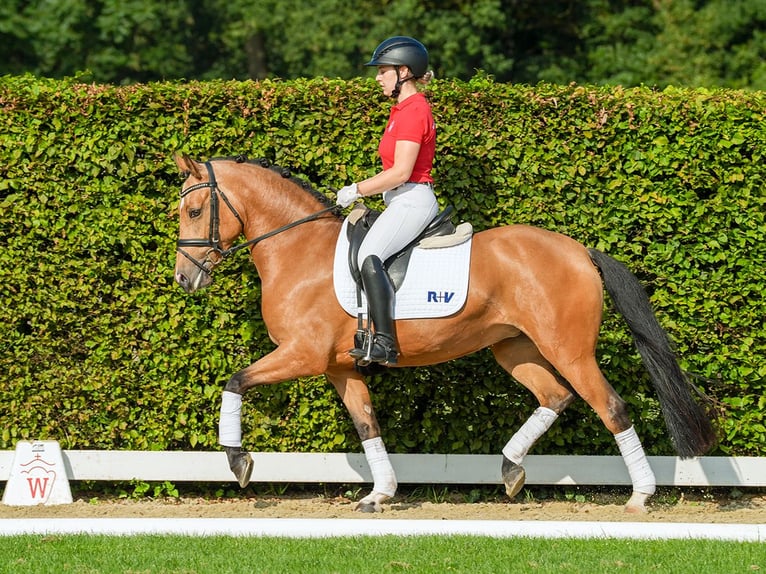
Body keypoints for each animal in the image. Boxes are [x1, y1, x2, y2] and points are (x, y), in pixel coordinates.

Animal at [171, 155, 716, 516]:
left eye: (194, 212)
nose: (184, 278)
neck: (297, 249)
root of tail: (580, 250)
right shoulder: (339, 367)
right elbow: (367, 425)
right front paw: (379, 493)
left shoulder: (301, 354)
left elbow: (235, 381)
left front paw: (239, 461)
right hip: (513, 348)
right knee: (555, 396)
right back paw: (511, 470)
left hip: (569, 349)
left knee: (611, 407)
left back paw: (640, 495)